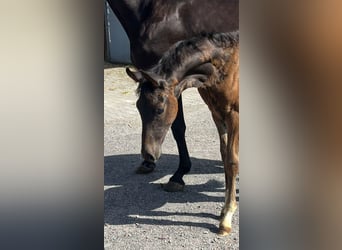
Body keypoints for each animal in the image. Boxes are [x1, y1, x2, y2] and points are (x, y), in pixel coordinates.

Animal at [126, 32, 240, 234]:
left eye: (159, 110)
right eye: (139, 107)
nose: (148, 154)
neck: (225, 66)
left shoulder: (234, 114)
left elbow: (232, 161)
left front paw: (227, 216)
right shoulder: (217, 114)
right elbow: (225, 157)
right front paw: (224, 208)